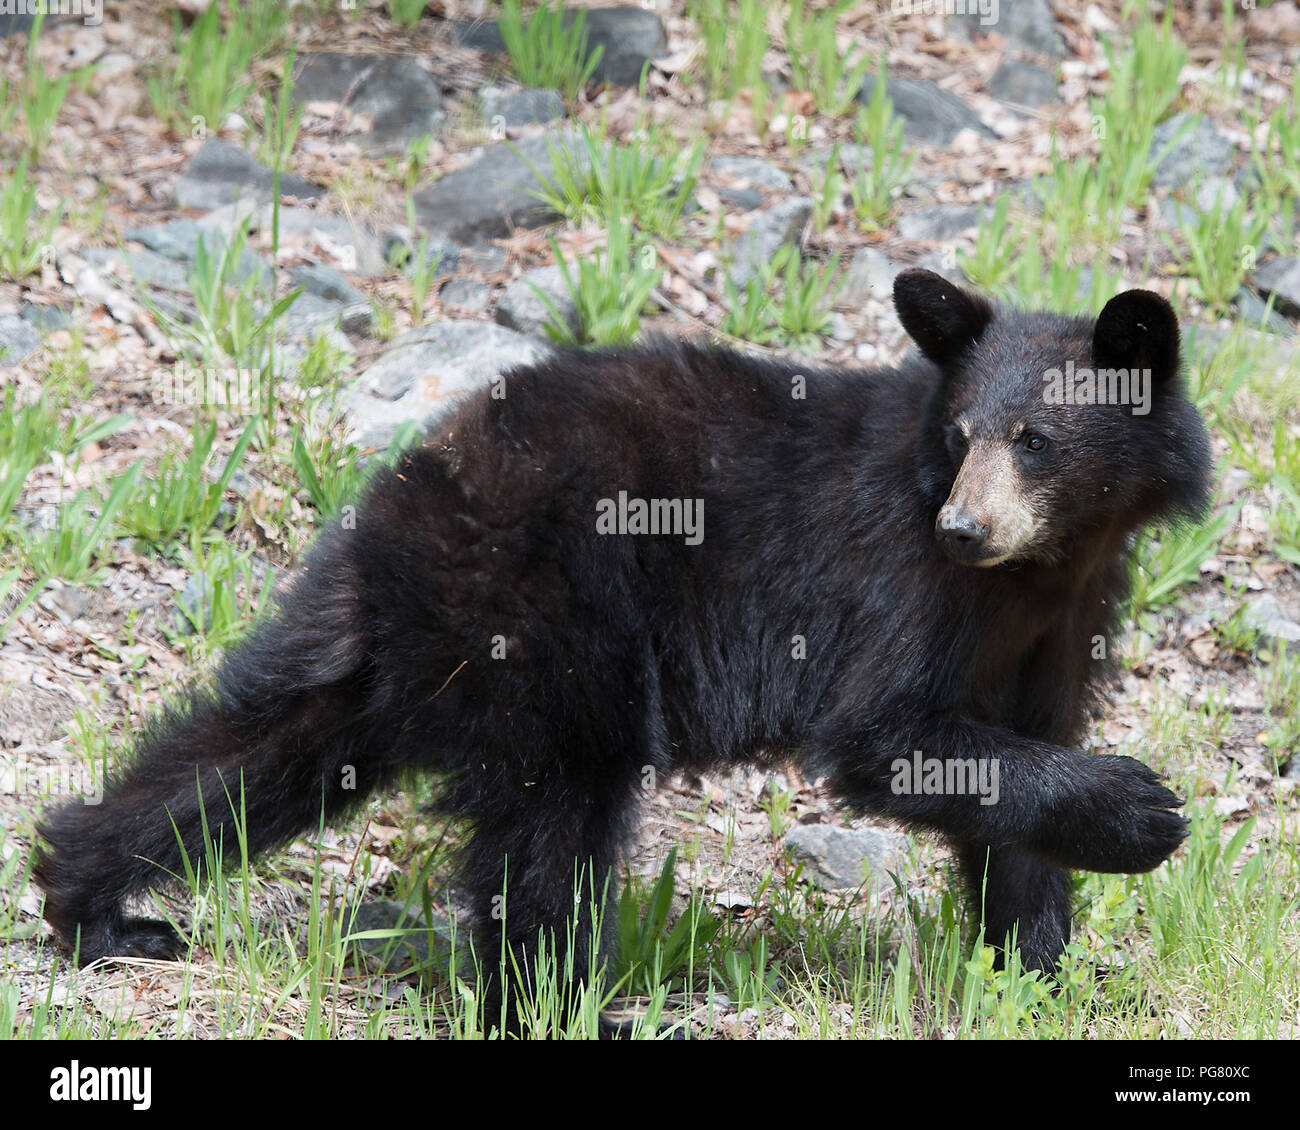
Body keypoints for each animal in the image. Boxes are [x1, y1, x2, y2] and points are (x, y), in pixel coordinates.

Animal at [32, 269, 1206, 1035]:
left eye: (1035, 440)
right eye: (963, 435)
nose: (963, 526)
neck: (1046, 561)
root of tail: (416, 486)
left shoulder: (1063, 615)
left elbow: (1015, 772)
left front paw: (1043, 972)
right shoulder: (903, 583)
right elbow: (888, 733)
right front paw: (1143, 813)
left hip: (388, 636)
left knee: (258, 749)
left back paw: (92, 901)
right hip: (555, 621)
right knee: (553, 829)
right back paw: (564, 1008)